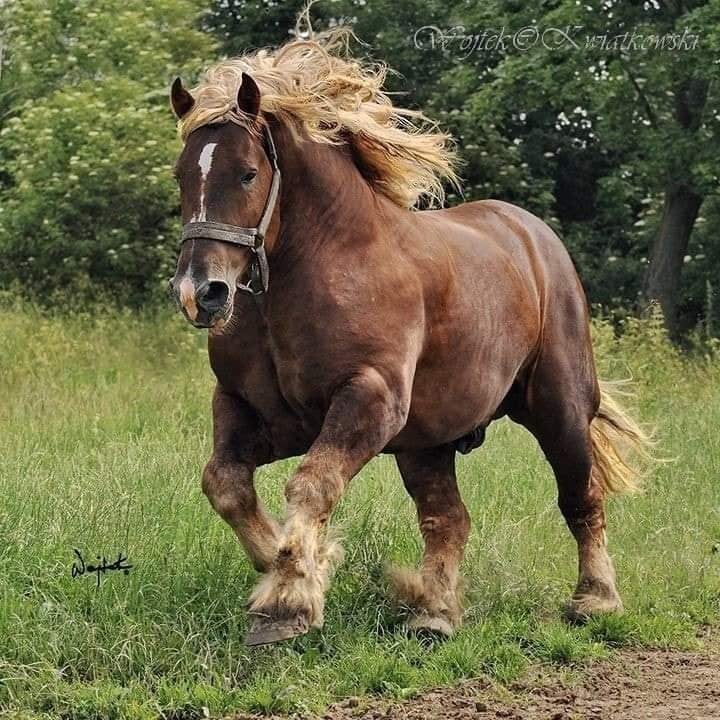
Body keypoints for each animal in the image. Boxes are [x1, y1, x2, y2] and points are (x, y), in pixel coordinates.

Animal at [167, 28, 648, 648]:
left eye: (247, 173)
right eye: (182, 175)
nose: (200, 292)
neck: (314, 269)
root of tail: (536, 238)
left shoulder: (369, 399)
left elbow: (312, 485)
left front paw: (288, 599)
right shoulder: (256, 410)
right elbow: (224, 483)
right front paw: (297, 562)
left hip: (558, 408)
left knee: (580, 496)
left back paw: (595, 600)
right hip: (427, 442)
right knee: (447, 518)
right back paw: (434, 612)